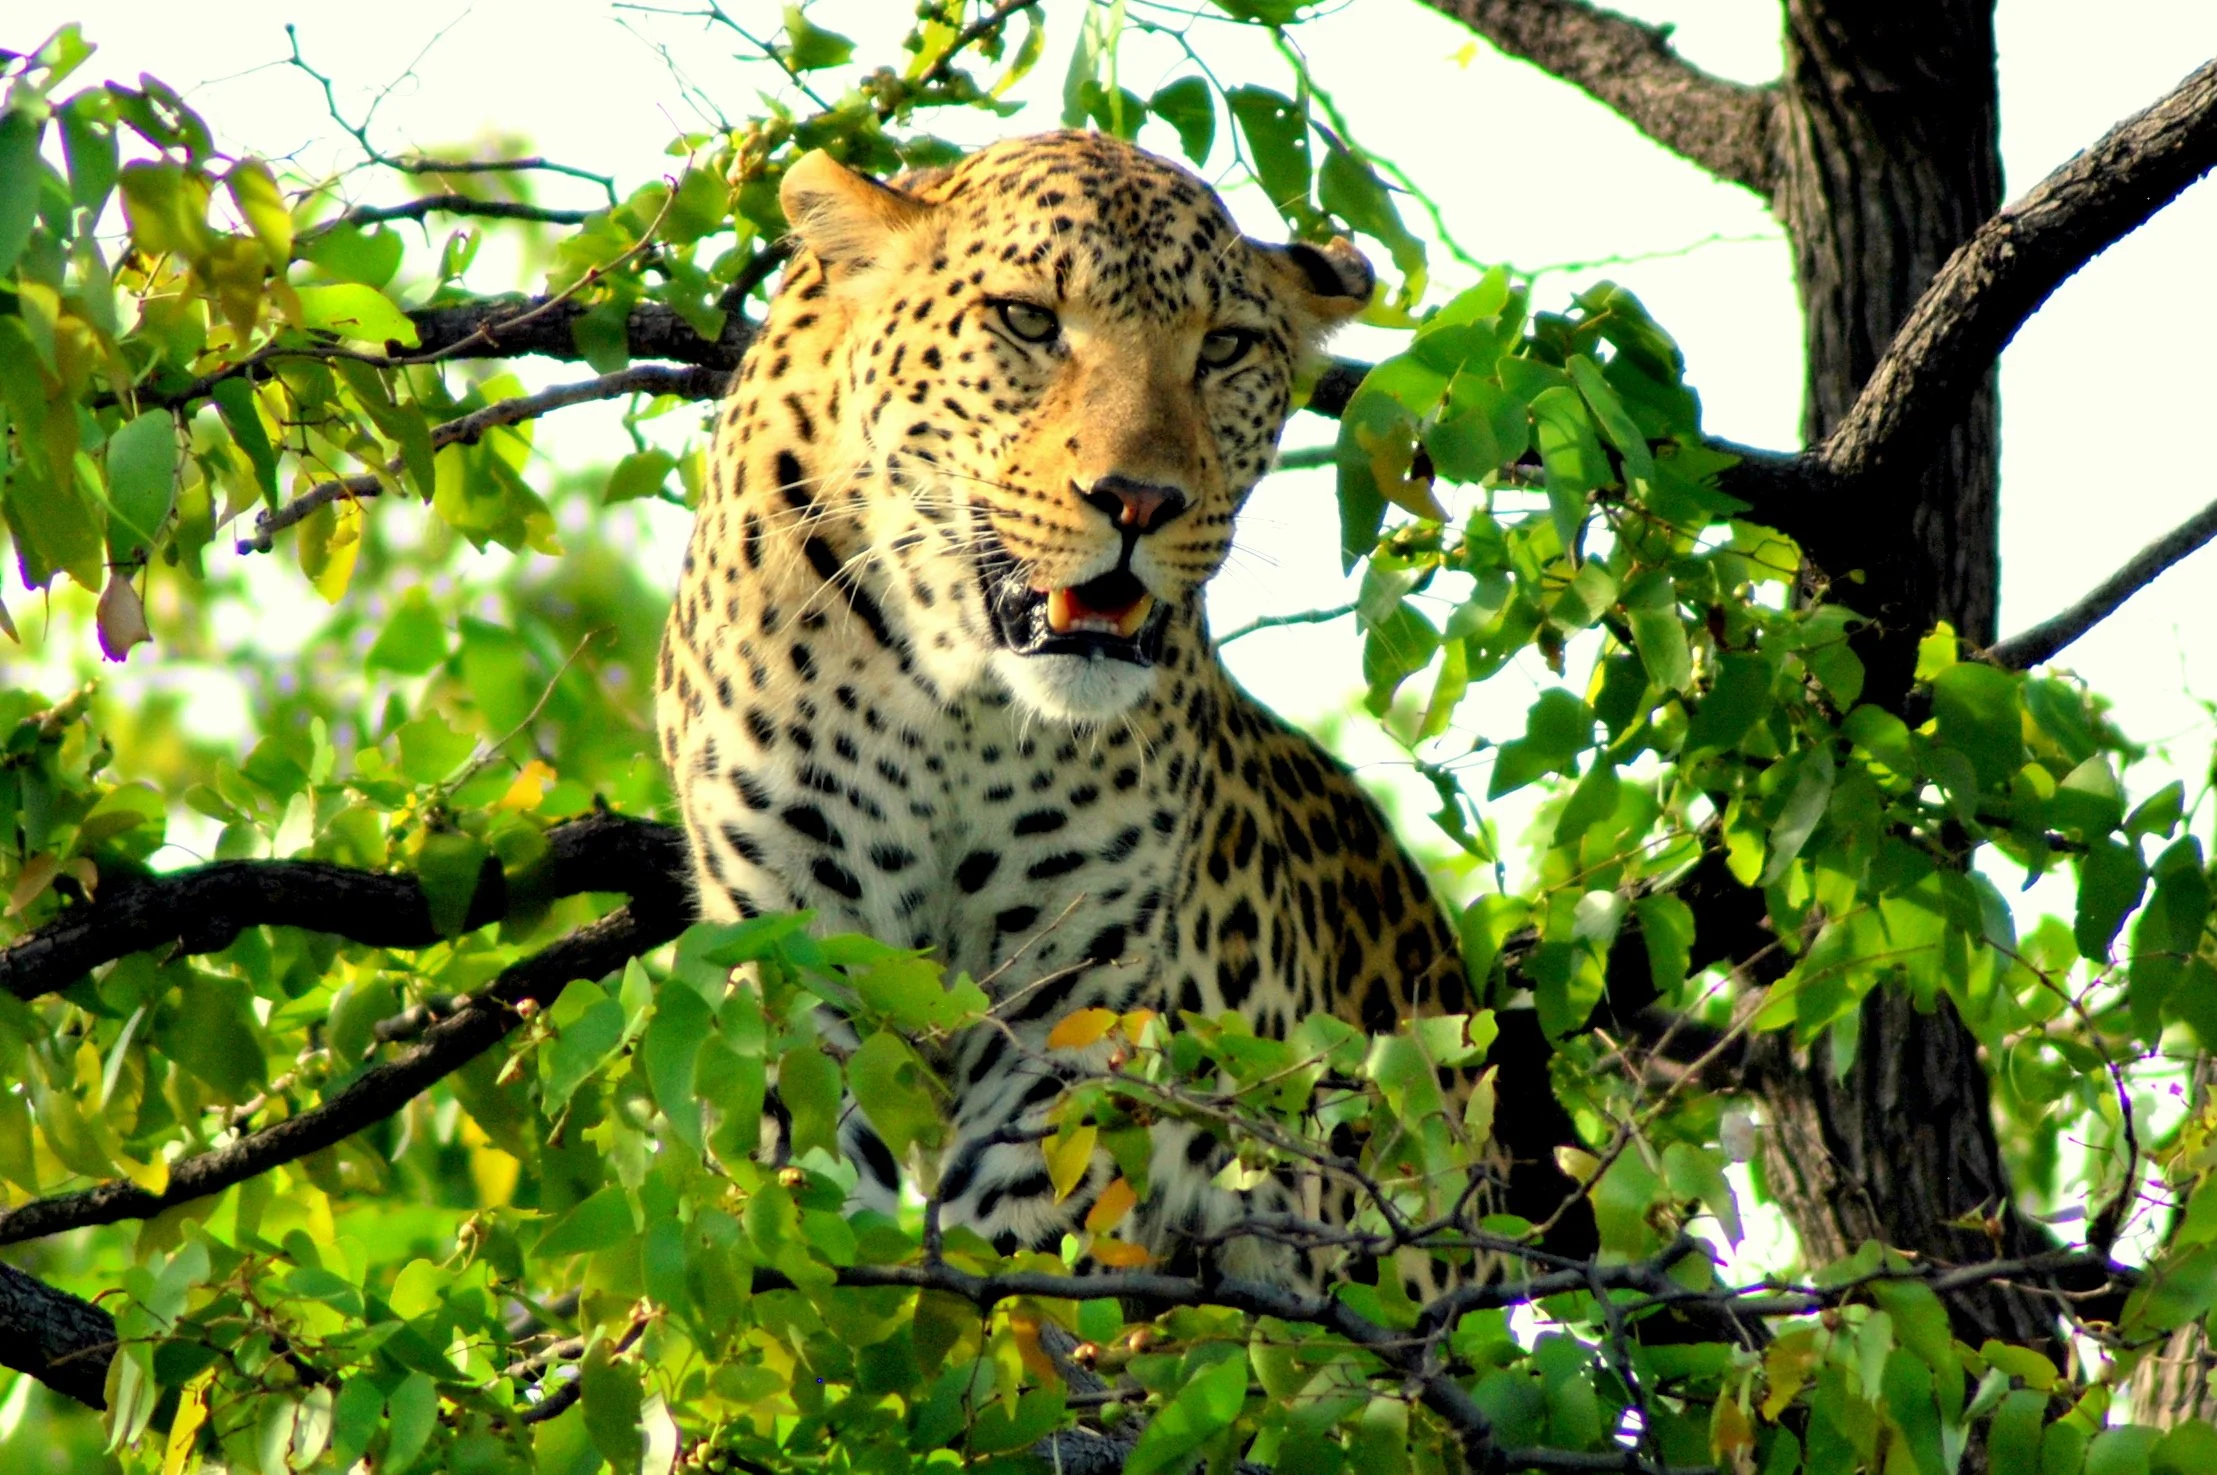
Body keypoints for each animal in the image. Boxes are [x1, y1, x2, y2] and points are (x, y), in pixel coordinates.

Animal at [656, 130, 1518, 1286]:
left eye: (1225, 347)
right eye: (1028, 320)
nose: (1139, 501)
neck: (958, 700)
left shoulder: (1074, 988)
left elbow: (1032, 1237)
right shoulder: (803, 950)